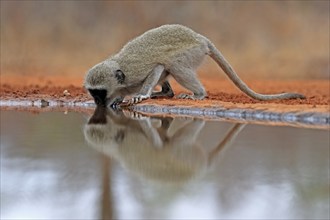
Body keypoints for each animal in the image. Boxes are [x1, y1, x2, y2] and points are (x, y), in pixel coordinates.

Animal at [84, 24, 304, 106]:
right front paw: (118, 100)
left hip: (192, 52)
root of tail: (201, 39)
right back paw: (165, 93)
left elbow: (157, 67)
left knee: (173, 65)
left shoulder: (136, 73)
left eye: (100, 92)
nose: (97, 103)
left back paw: (198, 94)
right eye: (94, 93)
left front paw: (142, 95)